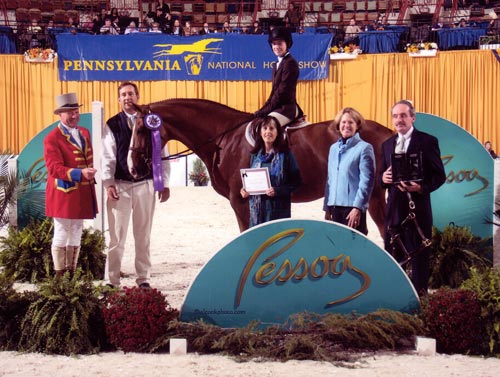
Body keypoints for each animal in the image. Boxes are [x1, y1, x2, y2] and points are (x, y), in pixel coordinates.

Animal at [128, 98, 390, 234]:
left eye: (141, 129)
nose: (133, 169)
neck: (224, 139)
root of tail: (385, 131)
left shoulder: (240, 200)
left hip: (374, 195)